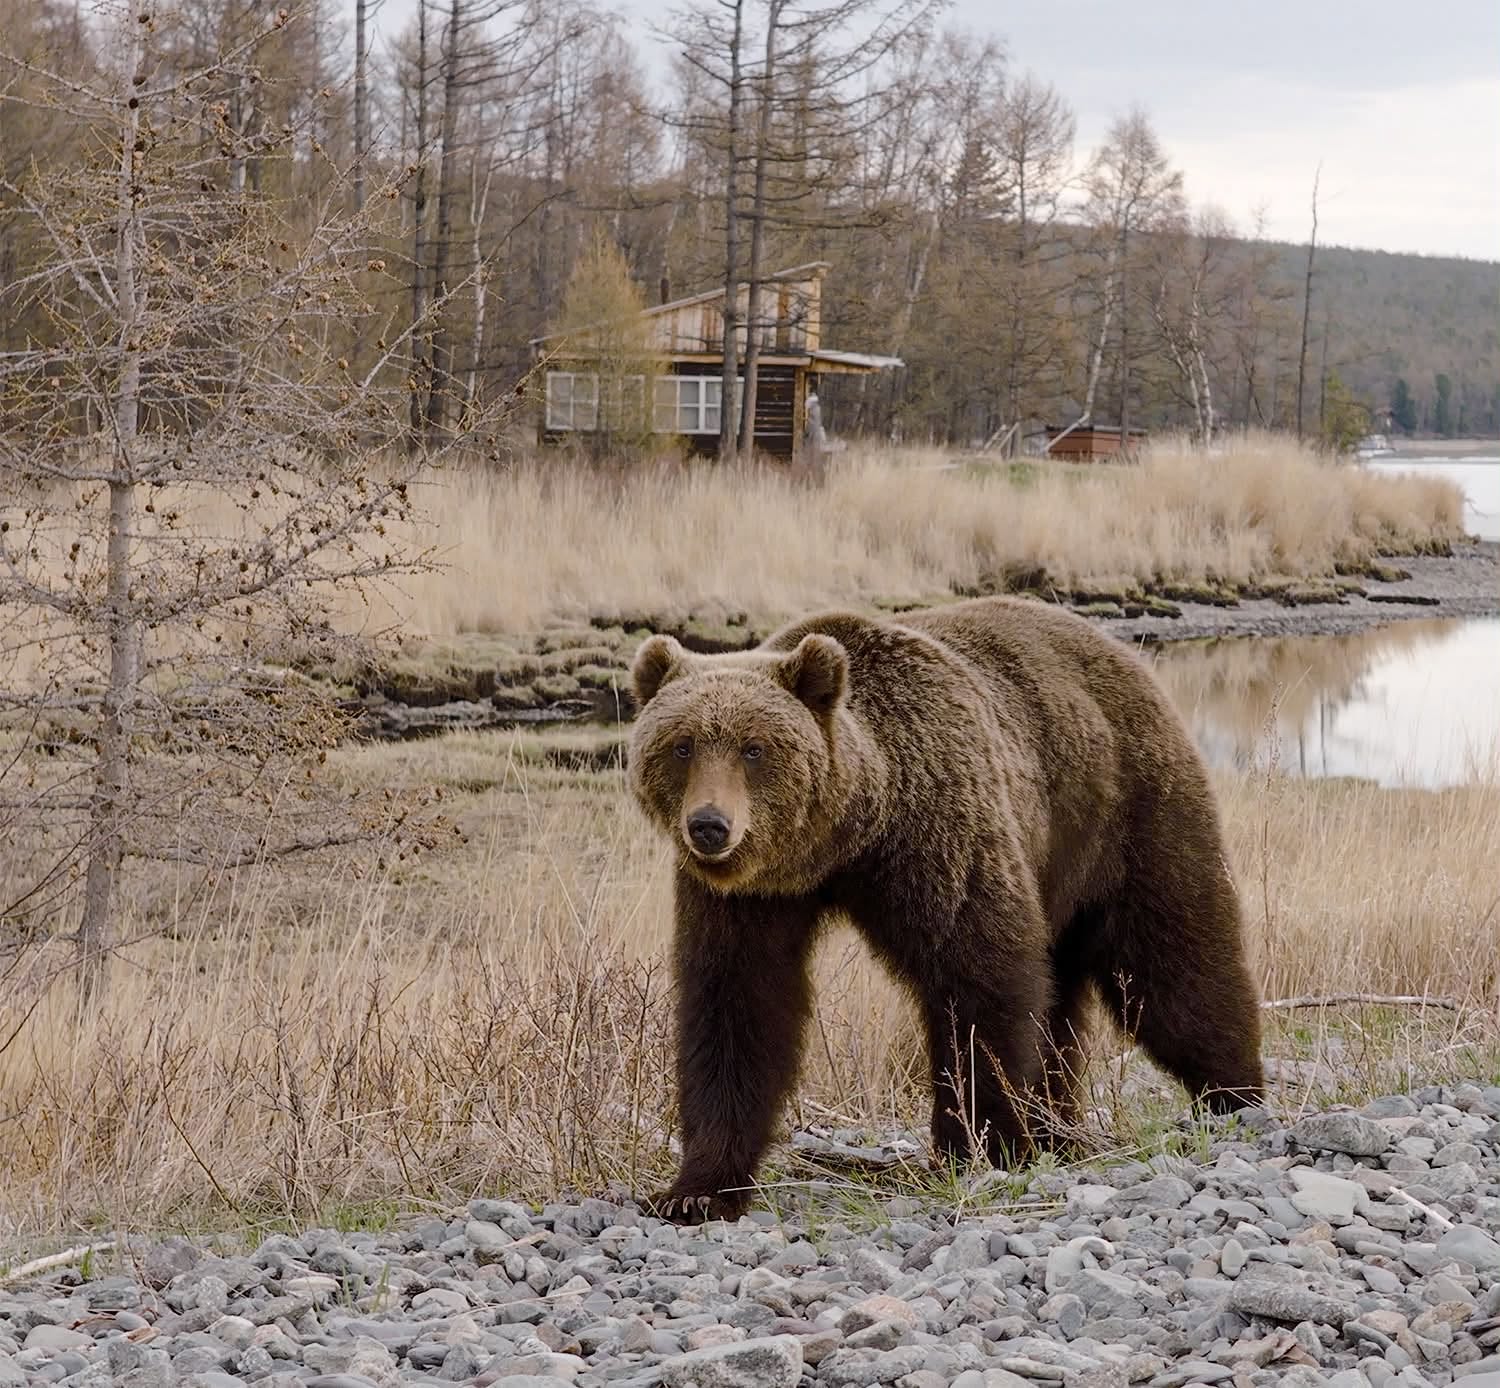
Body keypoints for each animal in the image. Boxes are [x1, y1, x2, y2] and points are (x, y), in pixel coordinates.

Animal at [626, 594, 1264, 1223]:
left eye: (754, 749)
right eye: (681, 746)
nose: (709, 825)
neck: (847, 838)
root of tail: (1113, 648)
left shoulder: (937, 832)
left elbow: (979, 977)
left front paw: (985, 1144)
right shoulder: (748, 897)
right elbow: (737, 1005)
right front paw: (696, 1189)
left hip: (1123, 807)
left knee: (1172, 954)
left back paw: (1233, 1093)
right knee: (1063, 992)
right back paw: (1057, 1127)